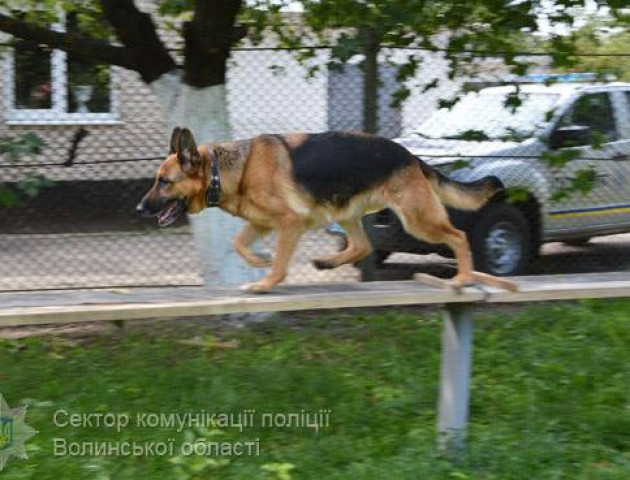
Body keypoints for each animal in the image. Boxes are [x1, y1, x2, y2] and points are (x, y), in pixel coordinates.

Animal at [137, 127, 508, 292]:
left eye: (164, 182)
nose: (139, 208)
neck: (224, 170)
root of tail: (410, 156)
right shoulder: (263, 223)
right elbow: (239, 243)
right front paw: (261, 260)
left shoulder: (290, 222)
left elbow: (280, 264)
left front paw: (265, 282)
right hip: (347, 215)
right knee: (363, 246)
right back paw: (327, 262)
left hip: (417, 219)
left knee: (458, 236)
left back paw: (463, 277)